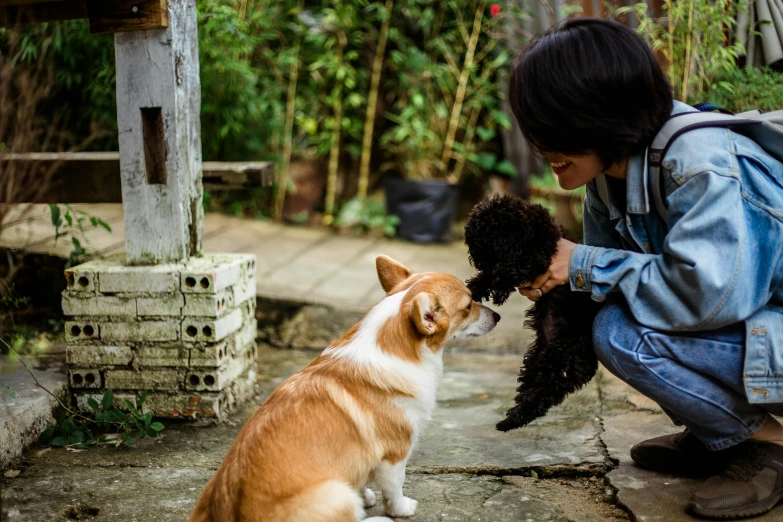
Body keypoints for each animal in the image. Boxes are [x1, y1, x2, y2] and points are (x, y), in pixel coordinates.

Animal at [466, 193, 608, 428]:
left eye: (485, 244)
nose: (477, 262)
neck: (532, 233)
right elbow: (491, 275)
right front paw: (473, 289)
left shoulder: (539, 258)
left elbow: (511, 267)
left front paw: (499, 289)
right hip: (542, 353)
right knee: (545, 385)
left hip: (559, 352)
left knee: (547, 388)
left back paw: (513, 419)